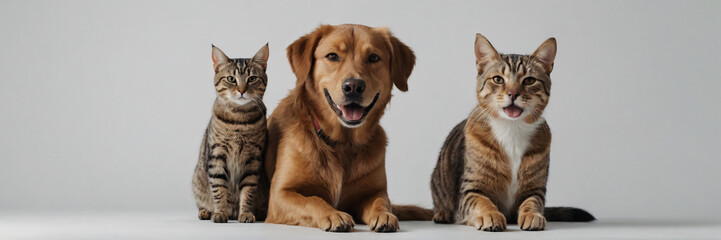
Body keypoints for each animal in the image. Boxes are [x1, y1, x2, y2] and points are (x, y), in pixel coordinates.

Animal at [193, 44, 268, 223]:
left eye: (252, 78)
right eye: (231, 79)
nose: (241, 90)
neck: (239, 120)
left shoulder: (253, 158)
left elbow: (248, 190)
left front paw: (246, 213)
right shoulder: (217, 155)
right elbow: (219, 188)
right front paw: (220, 212)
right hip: (197, 180)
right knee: (202, 202)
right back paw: (206, 212)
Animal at [266, 23, 430, 231]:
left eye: (373, 57)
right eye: (332, 56)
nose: (353, 86)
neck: (343, 143)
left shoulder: (374, 191)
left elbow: (381, 201)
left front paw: (384, 215)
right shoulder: (280, 194)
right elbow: (313, 200)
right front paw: (333, 214)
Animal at [430, 34, 592, 232]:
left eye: (529, 80)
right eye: (498, 79)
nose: (513, 93)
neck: (512, 129)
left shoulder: (535, 189)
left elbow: (532, 202)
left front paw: (532, 215)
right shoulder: (471, 188)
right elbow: (481, 201)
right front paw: (490, 215)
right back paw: (442, 213)